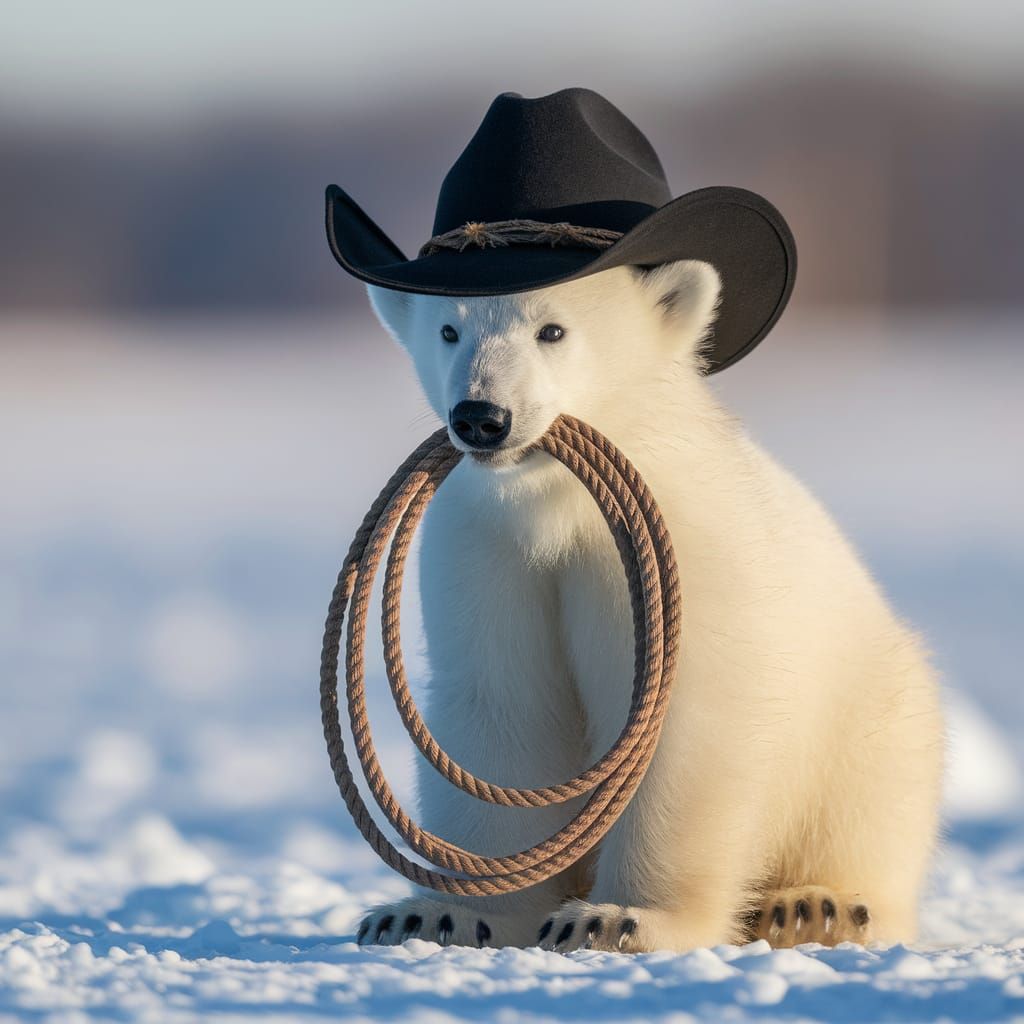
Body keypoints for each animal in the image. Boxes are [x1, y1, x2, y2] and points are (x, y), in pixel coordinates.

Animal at [353, 259, 945, 953]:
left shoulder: (676, 555)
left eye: (552, 329)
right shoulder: (488, 546)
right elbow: (502, 707)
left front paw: (614, 918)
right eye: (449, 330)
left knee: (868, 800)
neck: (558, 507)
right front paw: (439, 915)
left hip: (867, 710)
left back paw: (814, 905)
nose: (481, 415)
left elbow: (682, 721)